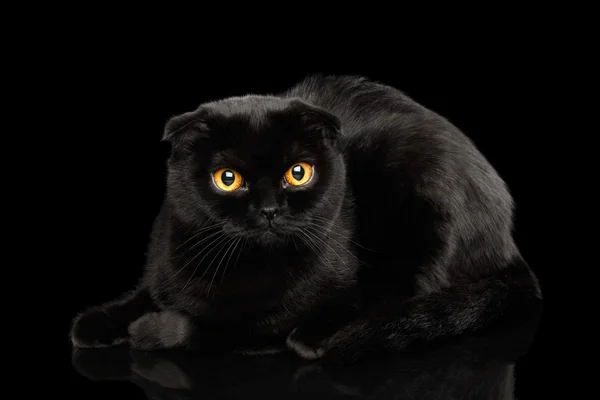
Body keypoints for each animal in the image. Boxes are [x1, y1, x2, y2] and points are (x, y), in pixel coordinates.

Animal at [70, 74, 544, 362]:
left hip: (426, 203)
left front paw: (147, 330)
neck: (232, 268)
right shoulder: (160, 269)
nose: (269, 209)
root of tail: (508, 240)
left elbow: (195, 330)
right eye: (228, 178)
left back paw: (316, 338)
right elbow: (139, 295)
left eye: (298, 173)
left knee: (398, 296)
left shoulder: (260, 329)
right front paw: (94, 324)